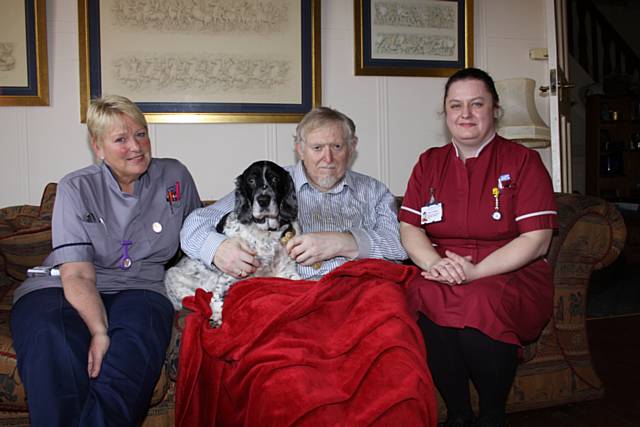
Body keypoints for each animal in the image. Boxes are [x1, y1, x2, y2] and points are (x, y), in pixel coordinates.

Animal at [164, 162, 302, 326]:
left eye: (275, 178)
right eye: (251, 180)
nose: (263, 200)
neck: (266, 233)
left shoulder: (286, 272)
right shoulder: (230, 274)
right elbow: (216, 298)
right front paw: (216, 316)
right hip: (172, 274)